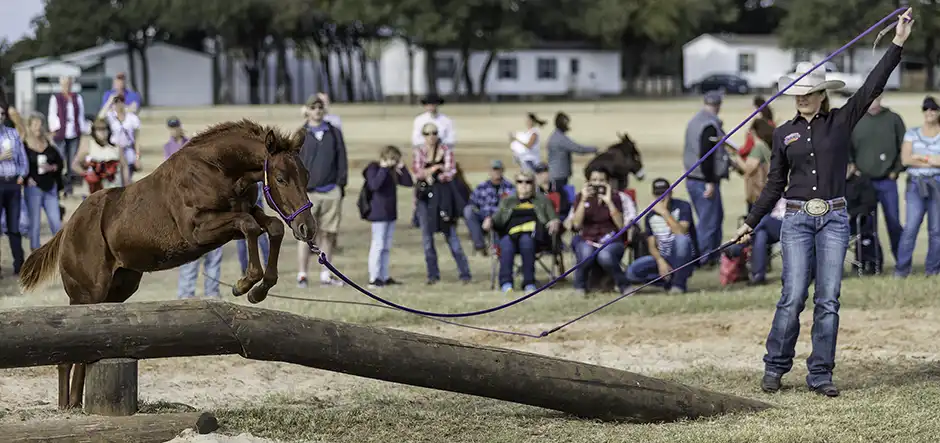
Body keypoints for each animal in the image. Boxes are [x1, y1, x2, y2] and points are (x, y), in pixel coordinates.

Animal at [18, 119, 317, 410]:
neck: (218, 168)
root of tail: (68, 227)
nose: (307, 228)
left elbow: (272, 226)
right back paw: (65, 407)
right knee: (68, 353)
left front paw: (260, 289)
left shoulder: (244, 214)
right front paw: (245, 284)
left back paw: (76, 404)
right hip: (87, 294)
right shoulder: (198, 230)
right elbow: (249, 226)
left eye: (307, 176)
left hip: (118, 288)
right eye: (280, 178)